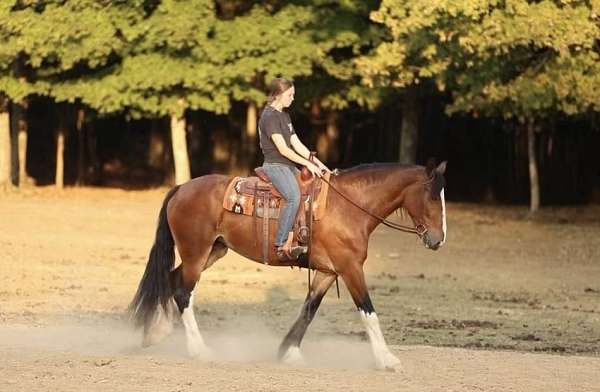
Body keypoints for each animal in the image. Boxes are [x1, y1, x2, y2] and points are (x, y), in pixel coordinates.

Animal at [132, 158, 450, 368]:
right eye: (433, 197)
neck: (348, 206)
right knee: (183, 291)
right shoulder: (350, 268)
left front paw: (288, 351)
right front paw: (386, 359)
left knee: (172, 281)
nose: (438, 240)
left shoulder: (328, 271)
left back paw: (156, 332)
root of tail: (181, 188)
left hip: (212, 251)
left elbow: (308, 309)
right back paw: (199, 349)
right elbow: (368, 312)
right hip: (196, 253)